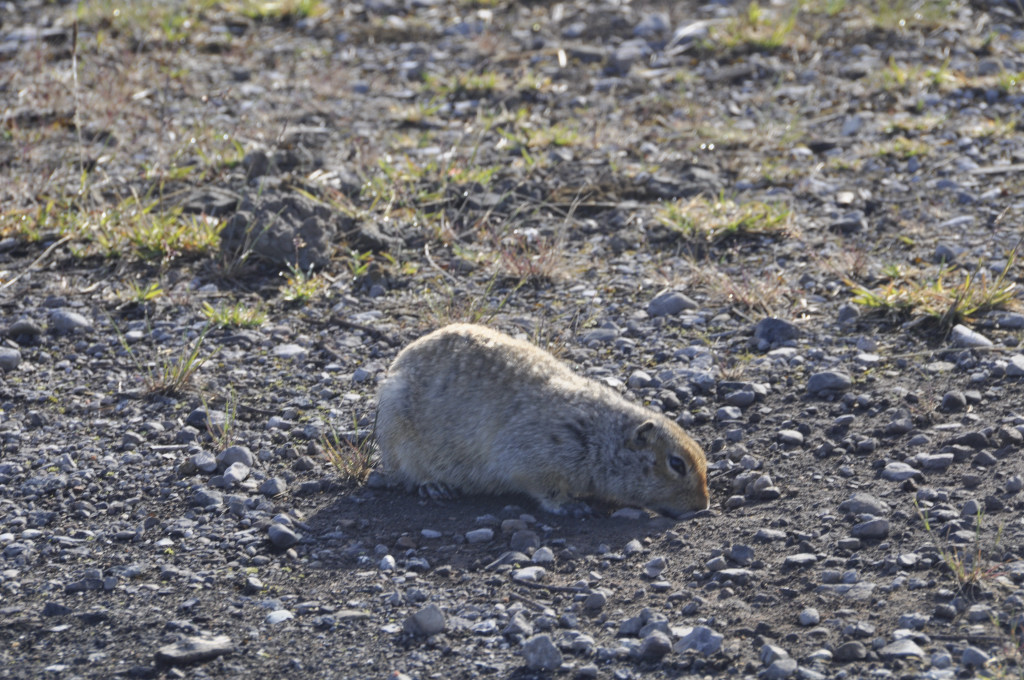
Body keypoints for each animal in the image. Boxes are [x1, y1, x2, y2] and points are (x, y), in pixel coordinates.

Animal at [374, 324, 709, 517]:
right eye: (676, 464)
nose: (703, 505)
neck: (600, 437)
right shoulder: (533, 458)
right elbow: (543, 488)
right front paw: (572, 506)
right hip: (398, 434)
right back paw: (434, 486)